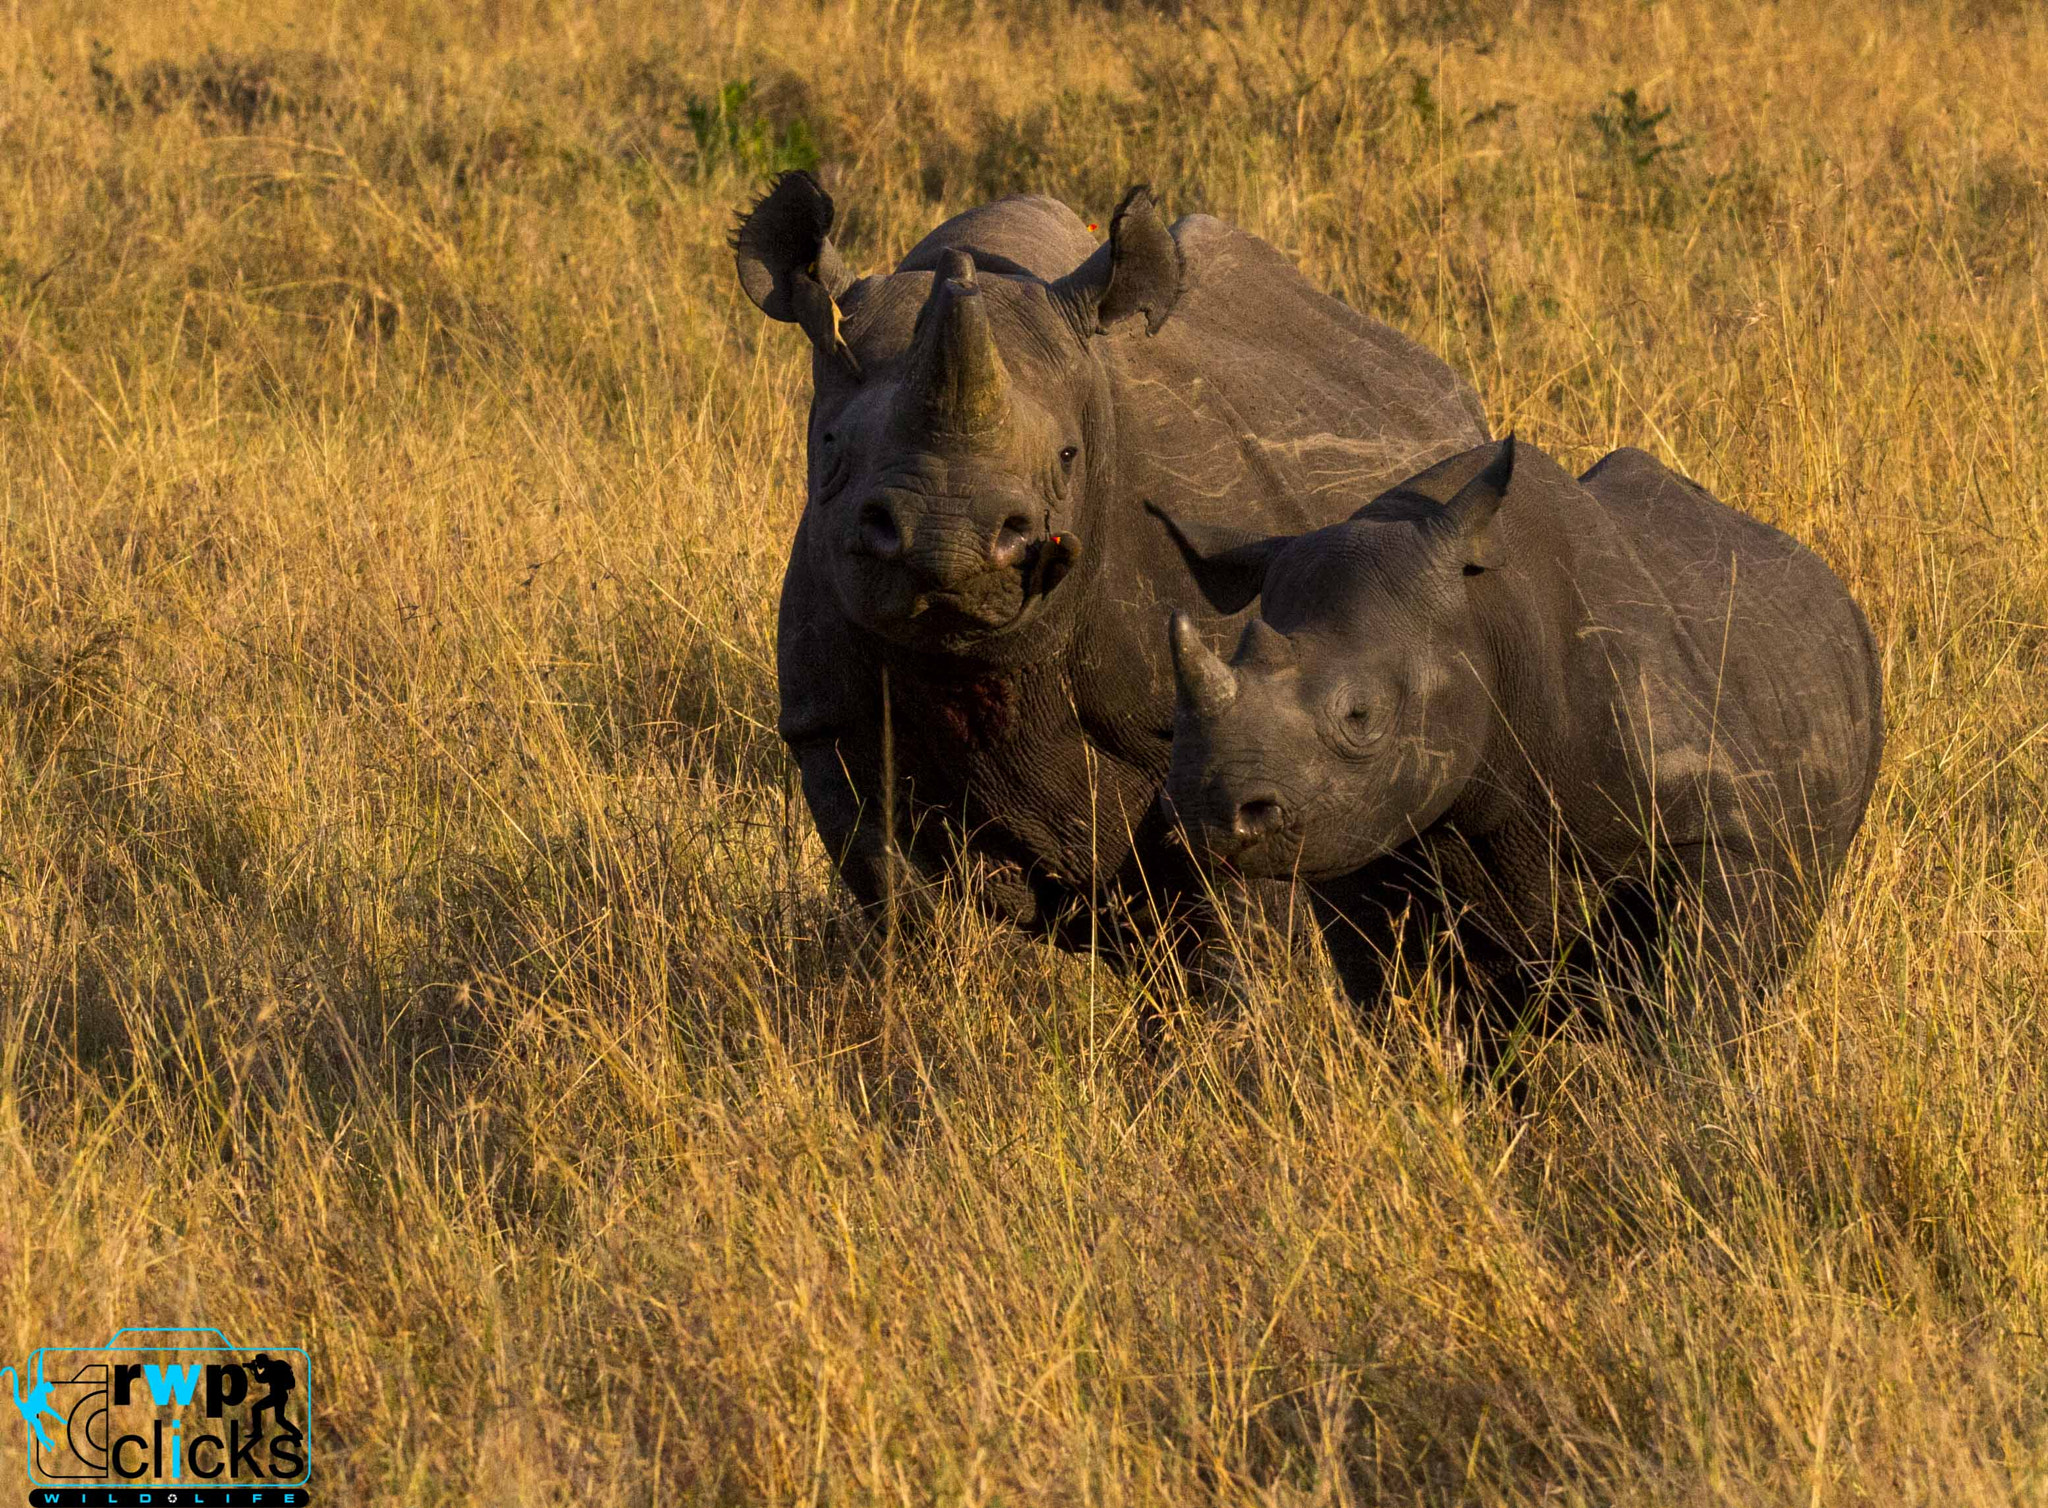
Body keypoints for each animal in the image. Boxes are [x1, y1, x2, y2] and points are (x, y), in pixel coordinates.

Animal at [733, 172, 1488, 959]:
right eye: (830, 449)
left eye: (1068, 457)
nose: (947, 540)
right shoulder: (829, 725)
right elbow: (900, 910)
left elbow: (1238, 930)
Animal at [1157, 437, 1883, 1021]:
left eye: (1361, 716)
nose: (1213, 817)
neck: (1485, 622)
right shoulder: (1358, 853)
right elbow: (1404, 1017)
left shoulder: (1718, 830)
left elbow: (1699, 1004)